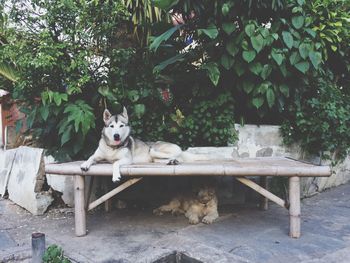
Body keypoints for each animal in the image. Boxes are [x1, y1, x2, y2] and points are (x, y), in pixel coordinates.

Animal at [44, 159, 330, 239]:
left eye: (208, 189)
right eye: (198, 188)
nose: (202, 197)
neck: (202, 202)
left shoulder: (214, 210)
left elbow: (212, 215)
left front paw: (207, 220)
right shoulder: (193, 207)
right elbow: (192, 214)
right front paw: (194, 219)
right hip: (170, 201)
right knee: (164, 207)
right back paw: (163, 212)